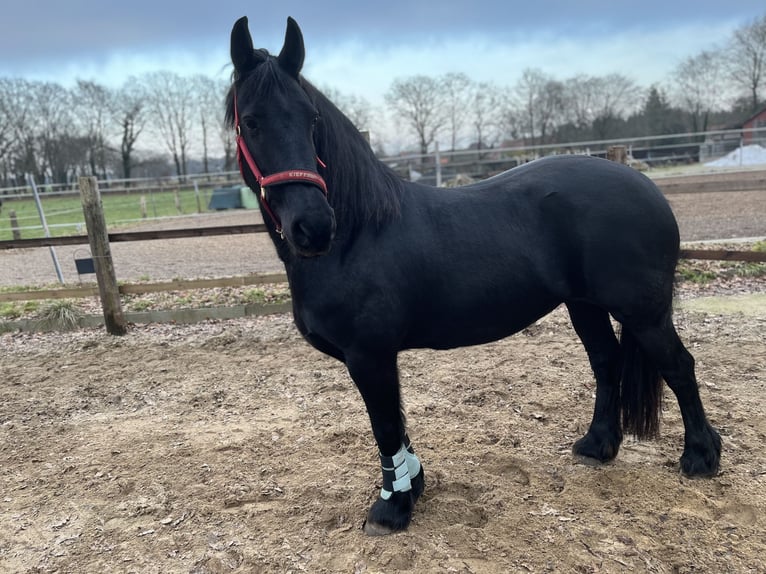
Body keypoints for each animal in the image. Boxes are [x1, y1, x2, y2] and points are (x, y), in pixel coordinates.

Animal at [226, 16, 721, 535]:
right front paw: (413, 486)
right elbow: (397, 422)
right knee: (607, 363)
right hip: (585, 306)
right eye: (252, 122)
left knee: (680, 368)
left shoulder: (369, 355)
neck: (358, 234)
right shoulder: (377, 357)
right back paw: (597, 446)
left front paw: (391, 508)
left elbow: (385, 424)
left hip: (644, 314)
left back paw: (701, 457)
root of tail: (649, 188)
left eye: (311, 120)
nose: (315, 227)